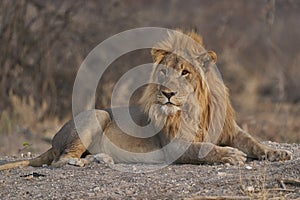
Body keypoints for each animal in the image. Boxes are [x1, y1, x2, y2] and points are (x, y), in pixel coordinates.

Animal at [0, 29, 290, 170]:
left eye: (185, 72)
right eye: (163, 72)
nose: (167, 93)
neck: (193, 107)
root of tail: (52, 141)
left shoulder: (230, 130)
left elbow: (253, 141)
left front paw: (276, 152)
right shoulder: (175, 146)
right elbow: (205, 148)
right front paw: (230, 155)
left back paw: (100, 159)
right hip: (98, 114)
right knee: (60, 160)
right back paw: (87, 161)